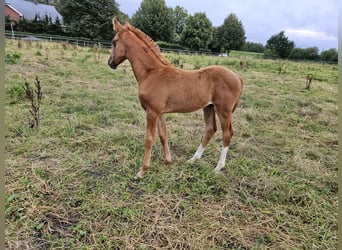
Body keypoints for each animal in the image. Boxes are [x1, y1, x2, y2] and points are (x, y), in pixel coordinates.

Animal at [107, 17, 243, 178]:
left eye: (114, 41)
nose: (110, 63)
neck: (151, 73)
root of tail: (238, 78)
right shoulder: (159, 112)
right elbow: (163, 135)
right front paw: (167, 162)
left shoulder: (152, 112)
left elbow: (149, 139)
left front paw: (142, 171)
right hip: (209, 107)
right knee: (210, 129)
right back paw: (193, 159)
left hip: (224, 110)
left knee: (227, 134)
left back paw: (218, 167)